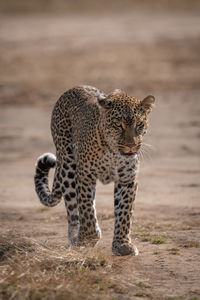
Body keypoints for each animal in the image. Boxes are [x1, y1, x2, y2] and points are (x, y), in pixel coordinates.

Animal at [34, 85, 155, 256]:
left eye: (139, 124)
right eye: (118, 125)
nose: (131, 146)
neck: (113, 152)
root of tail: (76, 87)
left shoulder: (127, 179)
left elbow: (124, 213)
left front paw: (122, 244)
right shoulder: (85, 176)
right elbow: (86, 210)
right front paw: (87, 239)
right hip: (68, 165)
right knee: (73, 209)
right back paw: (75, 237)